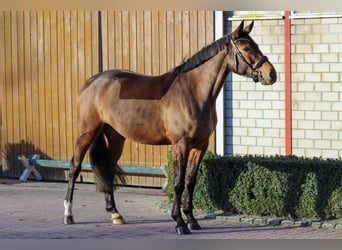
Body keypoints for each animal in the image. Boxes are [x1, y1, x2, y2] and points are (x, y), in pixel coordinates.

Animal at [63, 21, 278, 234]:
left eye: (256, 45)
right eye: (246, 48)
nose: (271, 74)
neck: (193, 92)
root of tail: (92, 82)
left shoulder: (200, 146)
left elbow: (191, 181)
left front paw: (192, 220)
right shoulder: (180, 145)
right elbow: (178, 183)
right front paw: (180, 222)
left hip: (116, 137)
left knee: (108, 169)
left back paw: (115, 214)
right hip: (86, 133)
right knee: (75, 166)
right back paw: (68, 214)